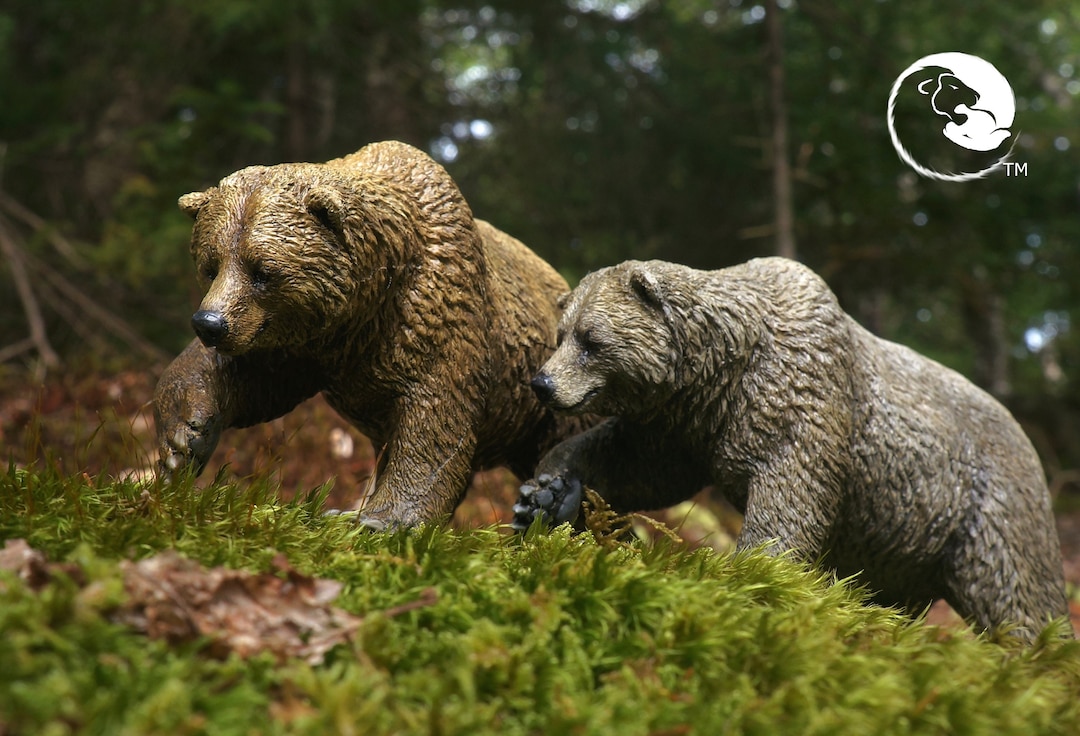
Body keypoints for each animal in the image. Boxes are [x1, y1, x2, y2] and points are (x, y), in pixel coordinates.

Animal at [153, 140, 590, 529]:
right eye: (210, 265)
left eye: (263, 270)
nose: (209, 322)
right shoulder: (306, 345)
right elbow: (245, 378)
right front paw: (184, 439)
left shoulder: (437, 309)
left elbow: (434, 417)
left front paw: (384, 518)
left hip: (553, 388)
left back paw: (553, 503)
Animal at [512, 256, 1069, 639]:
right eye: (561, 334)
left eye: (592, 340)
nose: (542, 383)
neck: (717, 379)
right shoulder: (688, 430)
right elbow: (634, 463)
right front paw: (547, 496)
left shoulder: (800, 399)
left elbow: (790, 503)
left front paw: (745, 579)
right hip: (904, 546)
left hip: (985, 510)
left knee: (1020, 594)